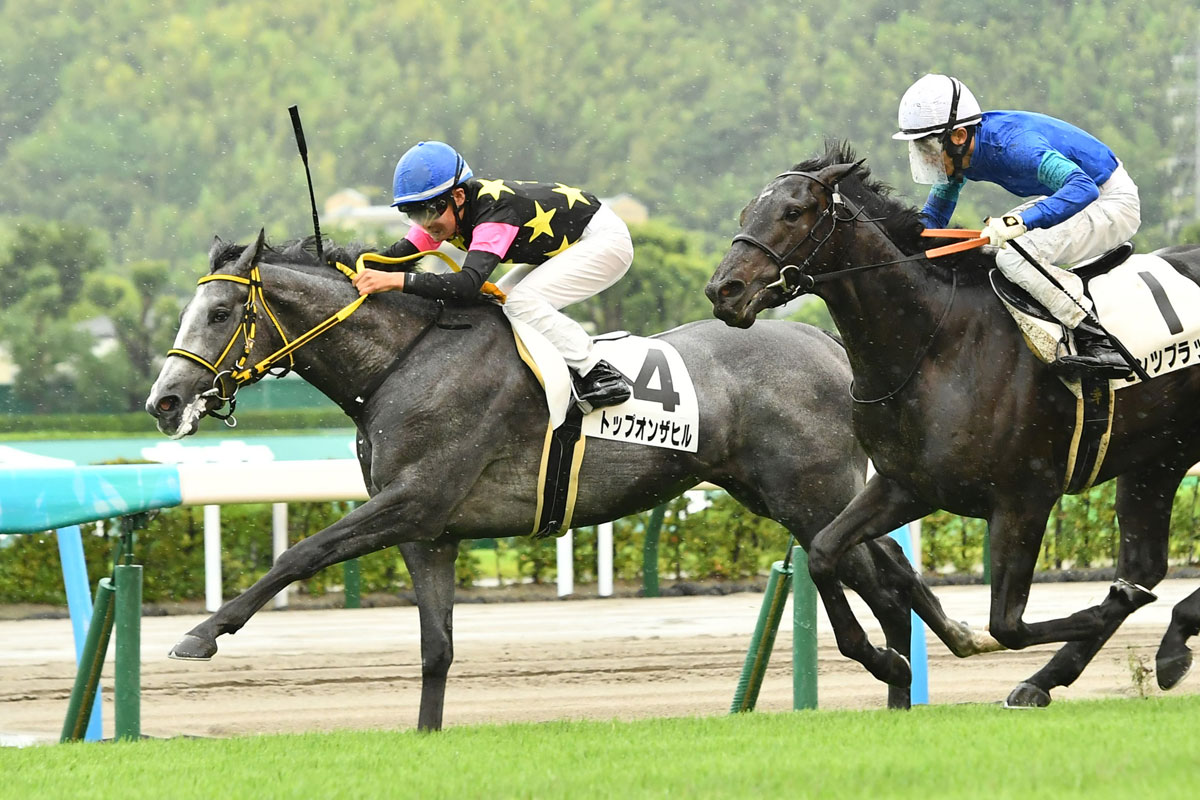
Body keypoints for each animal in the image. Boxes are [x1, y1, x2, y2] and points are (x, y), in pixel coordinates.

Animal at [145, 230, 998, 728]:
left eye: (218, 313)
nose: (164, 401)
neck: (403, 362)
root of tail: (825, 343)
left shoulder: (410, 499)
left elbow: (300, 553)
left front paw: (199, 634)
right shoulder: (429, 530)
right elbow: (435, 650)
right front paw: (425, 734)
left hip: (806, 492)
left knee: (865, 572)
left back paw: (896, 670)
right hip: (782, 492)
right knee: (883, 571)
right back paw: (919, 672)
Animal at [706, 141, 1200, 707]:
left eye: (793, 211)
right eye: (747, 213)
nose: (723, 290)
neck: (937, 346)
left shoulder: (1025, 498)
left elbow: (1008, 625)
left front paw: (1091, 614)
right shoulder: (907, 484)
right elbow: (825, 553)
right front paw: (887, 661)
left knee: (1131, 578)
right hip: (1159, 456)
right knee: (1143, 565)